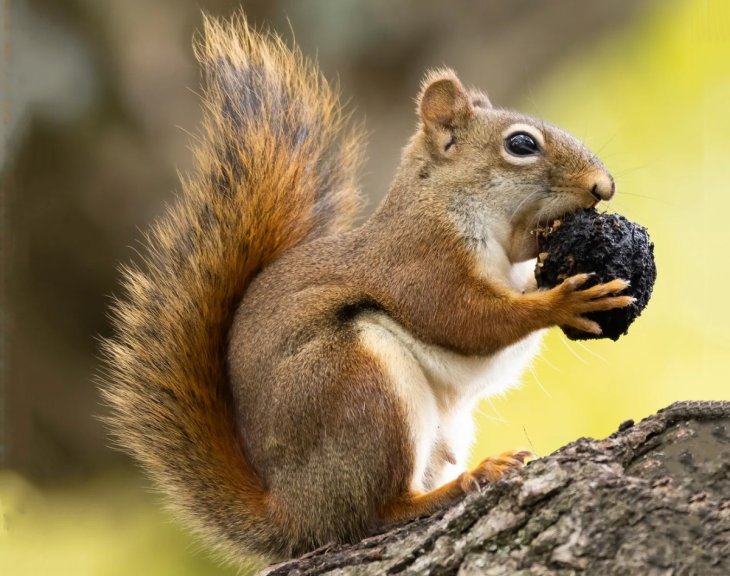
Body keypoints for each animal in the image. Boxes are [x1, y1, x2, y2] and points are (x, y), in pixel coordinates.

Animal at [100, 12, 632, 565]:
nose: (604, 186)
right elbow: (465, 320)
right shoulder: (420, 262)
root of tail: (296, 511)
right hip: (357, 384)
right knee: (374, 513)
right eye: (521, 145)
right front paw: (568, 299)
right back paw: (458, 485)